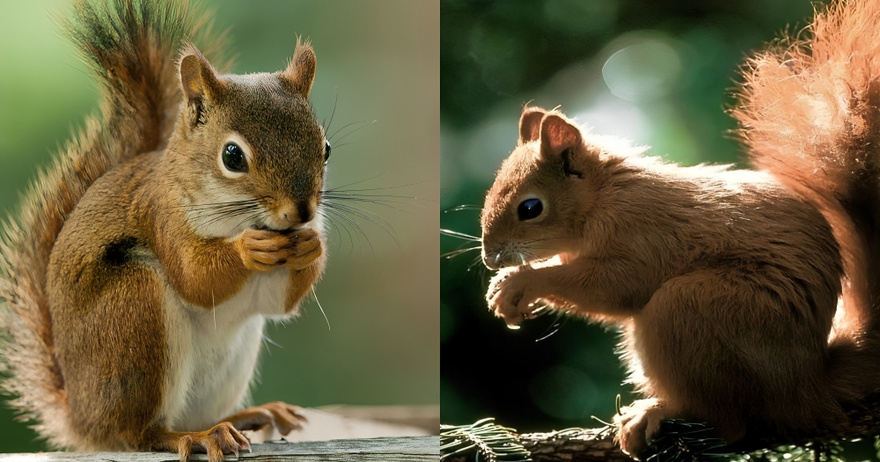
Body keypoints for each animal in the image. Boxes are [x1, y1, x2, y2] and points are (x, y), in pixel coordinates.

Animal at [0, 0, 330, 462]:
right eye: (232, 156)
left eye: (326, 148)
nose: (301, 212)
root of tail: (83, 419)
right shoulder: (163, 218)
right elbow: (195, 278)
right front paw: (248, 249)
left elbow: (278, 301)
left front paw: (312, 246)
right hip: (133, 312)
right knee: (141, 433)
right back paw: (195, 437)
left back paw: (249, 416)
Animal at [478, 0, 880, 456]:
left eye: (530, 207)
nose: (490, 258)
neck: (602, 197)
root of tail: (807, 385)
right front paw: (506, 290)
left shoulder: (643, 232)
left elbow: (616, 286)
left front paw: (519, 283)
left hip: (695, 308)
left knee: (730, 424)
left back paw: (657, 413)